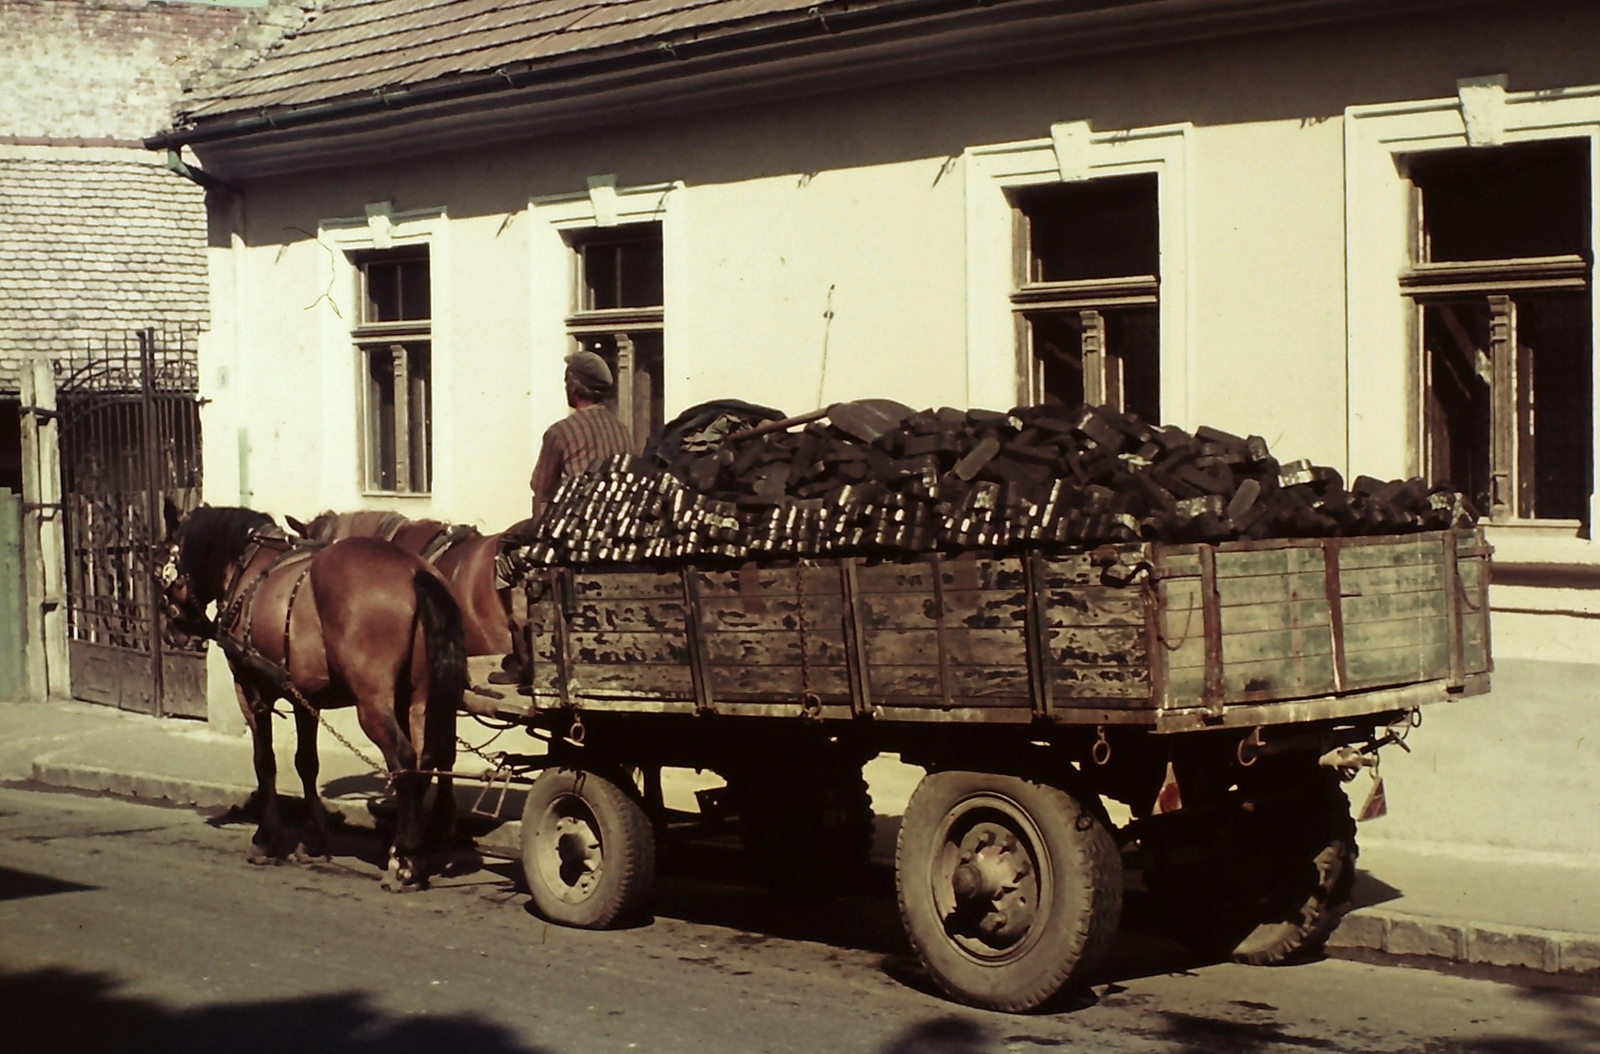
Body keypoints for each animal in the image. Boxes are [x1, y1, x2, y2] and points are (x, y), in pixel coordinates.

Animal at [160, 502, 467, 889]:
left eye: (163, 562)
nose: (173, 631)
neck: (248, 566)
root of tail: (416, 571)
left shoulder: (251, 690)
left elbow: (265, 761)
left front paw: (266, 837)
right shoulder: (304, 698)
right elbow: (307, 762)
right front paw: (316, 836)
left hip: (373, 704)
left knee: (403, 759)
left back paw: (406, 857)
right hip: (418, 698)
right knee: (428, 758)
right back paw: (411, 850)